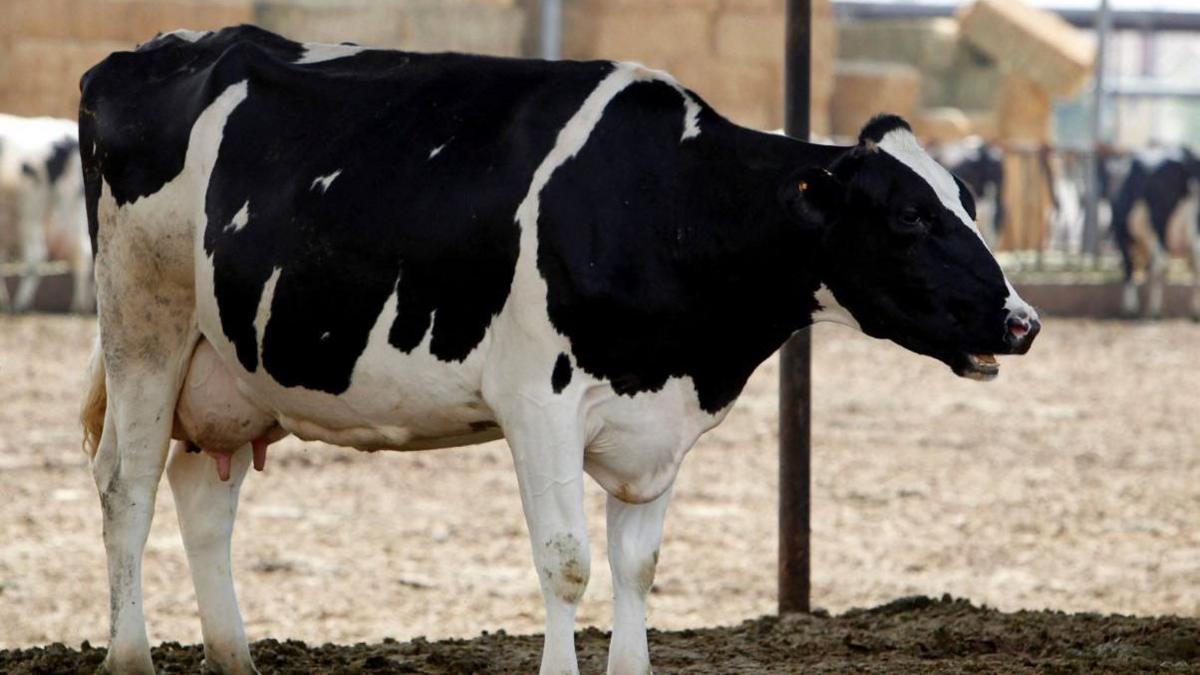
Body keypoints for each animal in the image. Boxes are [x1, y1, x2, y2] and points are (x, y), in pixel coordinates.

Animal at [0, 113, 93, 312]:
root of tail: (69, 142)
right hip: (75, 207)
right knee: (83, 251)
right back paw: (80, 306)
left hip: (31, 206)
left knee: (36, 253)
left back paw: (21, 305)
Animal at [77, 23, 1041, 672]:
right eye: (908, 215)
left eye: (967, 199)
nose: (1021, 321)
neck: (664, 202)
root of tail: (150, 51)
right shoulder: (537, 399)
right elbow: (568, 563)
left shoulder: (658, 421)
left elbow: (638, 565)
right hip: (145, 325)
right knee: (128, 485)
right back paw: (130, 654)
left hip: (229, 369)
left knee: (204, 497)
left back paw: (233, 655)